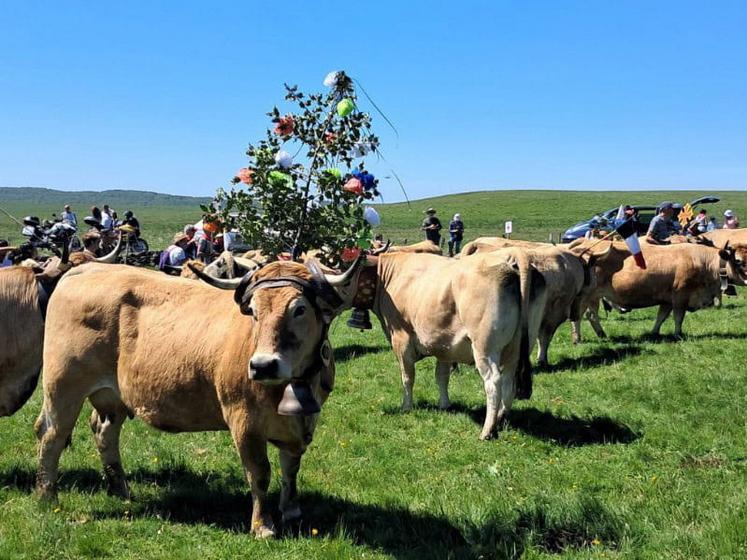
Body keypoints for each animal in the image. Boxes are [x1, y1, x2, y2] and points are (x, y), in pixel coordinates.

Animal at [34, 258, 363, 538]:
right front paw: (262, 526)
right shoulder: (244, 422)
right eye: (254, 311)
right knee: (51, 435)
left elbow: (290, 467)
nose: (262, 365)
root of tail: (87, 269)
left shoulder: (301, 423)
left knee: (105, 432)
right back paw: (48, 497)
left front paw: (291, 511)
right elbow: (259, 473)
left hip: (112, 395)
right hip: (63, 385)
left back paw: (120, 490)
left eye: (299, 309)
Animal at [350, 249, 546, 439]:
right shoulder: (445, 346)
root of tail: (510, 258)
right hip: (517, 348)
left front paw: (406, 406)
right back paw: (501, 419)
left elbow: (408, 377)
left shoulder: (401, 341)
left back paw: (487, 430)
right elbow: (442, 376)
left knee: (493, 382)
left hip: (485, 347)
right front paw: (445, 405)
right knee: (508, 382)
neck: (390, 276)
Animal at [568, 239, 747, 338]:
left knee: (591, 316)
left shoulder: (667, 299)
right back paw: (577, 338)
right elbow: (678, 317)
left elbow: (661, 317)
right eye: (738, 261)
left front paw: (654, 333)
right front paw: (678, 334)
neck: (704, 261)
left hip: (593, 297)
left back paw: (601, 334)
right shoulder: (680, 296)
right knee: (578, 316)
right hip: (584, 296)